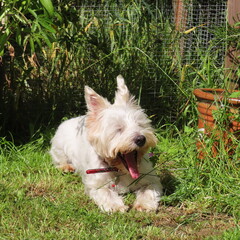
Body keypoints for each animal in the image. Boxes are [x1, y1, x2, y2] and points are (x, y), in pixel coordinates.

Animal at [50, 75, 163, 212]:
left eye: (140, 124)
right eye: (118, 129)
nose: (141, 139)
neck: (119, 169)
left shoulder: (150, 178)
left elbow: (149, 189)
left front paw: (144, 204)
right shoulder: (97, 183)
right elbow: (105, 192)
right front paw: (116, 206)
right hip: (59, 147)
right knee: (59, 159)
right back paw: (67, 167)